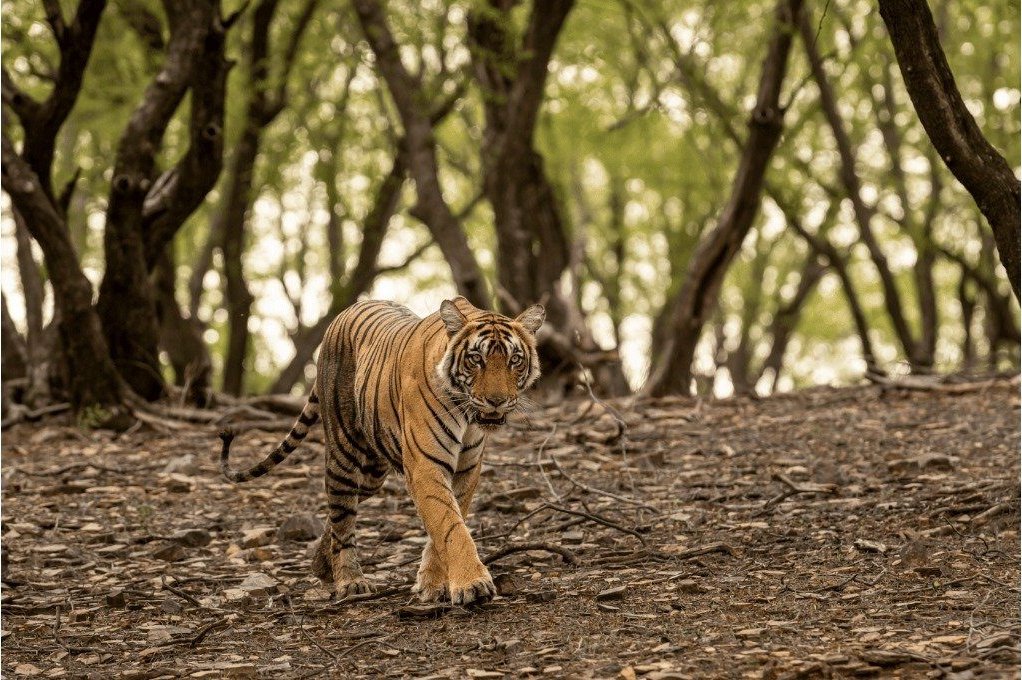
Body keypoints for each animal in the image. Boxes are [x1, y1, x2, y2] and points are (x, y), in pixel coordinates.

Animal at [219, 296, 545, 605]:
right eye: (476, 359)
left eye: (515, 359)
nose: (496, 401)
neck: (466, 415)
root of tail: (345, 311)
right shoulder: (426, 466)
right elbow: (451, 526)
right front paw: (472, 585)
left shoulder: (466, 469)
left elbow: (447, 524)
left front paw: (432, 585)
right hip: (344, 455)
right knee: (342, 518)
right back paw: (349, 581)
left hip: (373, 474)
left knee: (339, 514)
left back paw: (322, 565)